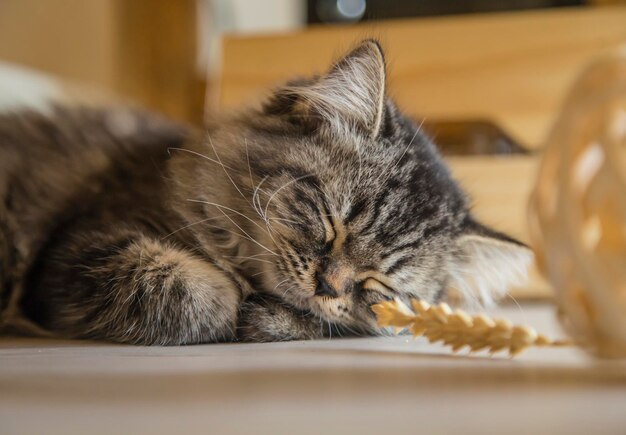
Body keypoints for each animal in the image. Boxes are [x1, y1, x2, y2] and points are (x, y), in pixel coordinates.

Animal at [0, 41, 528, 348]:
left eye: (378, 282)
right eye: (331, 221)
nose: (328, 286)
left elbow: (327, 322)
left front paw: (267, 316)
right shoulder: (82, 247)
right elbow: (192, 291)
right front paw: (232, 300)